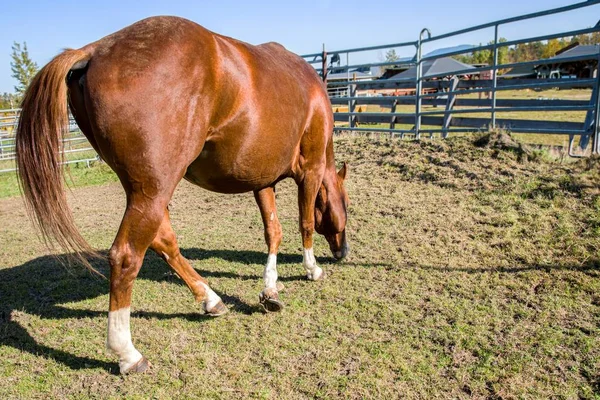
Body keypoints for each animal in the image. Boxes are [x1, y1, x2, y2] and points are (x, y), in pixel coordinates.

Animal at [14, 14, 350, 372]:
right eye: (346, 203)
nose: (343, 252)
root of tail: (95, 50)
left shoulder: (262, 180)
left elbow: (273, 232)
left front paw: (270, 290)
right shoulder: (311, 170)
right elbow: (305, 223)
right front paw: (312, 269)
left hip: (145, 191)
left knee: (164, 242)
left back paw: (210, 300)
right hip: (154, 191)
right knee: (126, 256)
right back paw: (127, 353)